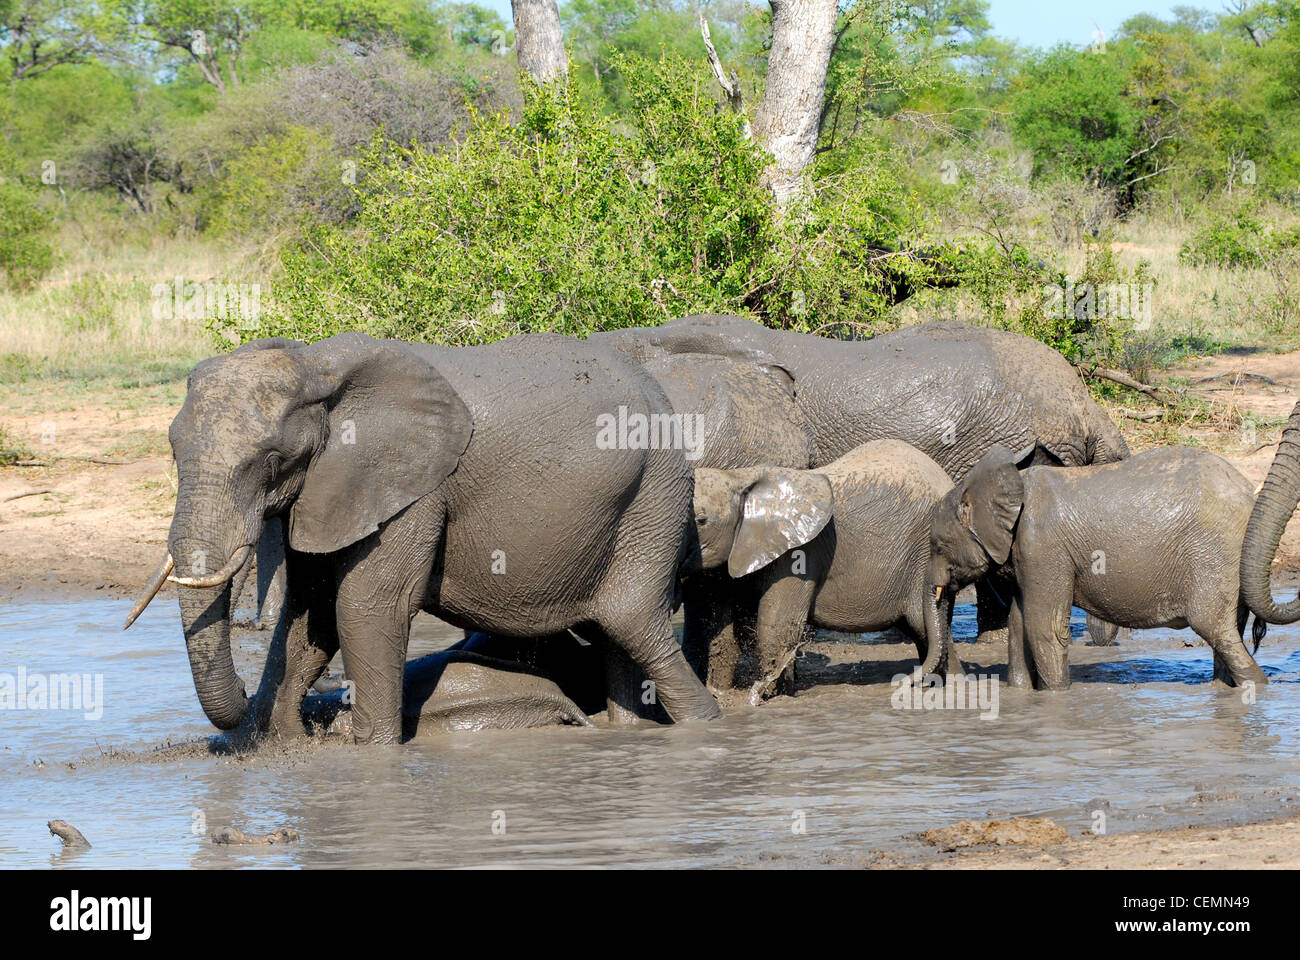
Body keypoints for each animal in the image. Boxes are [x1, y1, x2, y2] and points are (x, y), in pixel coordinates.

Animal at [125, 330, 720, 743]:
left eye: (270, 460)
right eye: (172, 451)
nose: (245, 694)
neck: (316, 365)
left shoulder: (412, 489)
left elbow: (365, 607)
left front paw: (365, 747)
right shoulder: (327, 488)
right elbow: (311, 611)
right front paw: (277, 741)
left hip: (654, 494)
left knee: (632, 619)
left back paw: (706, 724)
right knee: (617, 635)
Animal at [691, 439, 962, 703]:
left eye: (701, 520)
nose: (754, 695)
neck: (739, 477)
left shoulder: (798, 553)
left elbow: (777, 626)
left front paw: (765, 697)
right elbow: (725, 631)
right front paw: (721, 694)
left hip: (925, 556)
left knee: (925, 626)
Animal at [928, 443, 1273, 690]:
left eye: (938, 545)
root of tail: (1247, 492)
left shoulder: (1042, 546)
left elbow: (1044, 628)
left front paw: (1056, 697)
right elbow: (1019, 623)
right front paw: (1021, 694)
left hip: (1213, 553)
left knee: (1214, 627)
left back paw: (1257, 689)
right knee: (1228, 631)